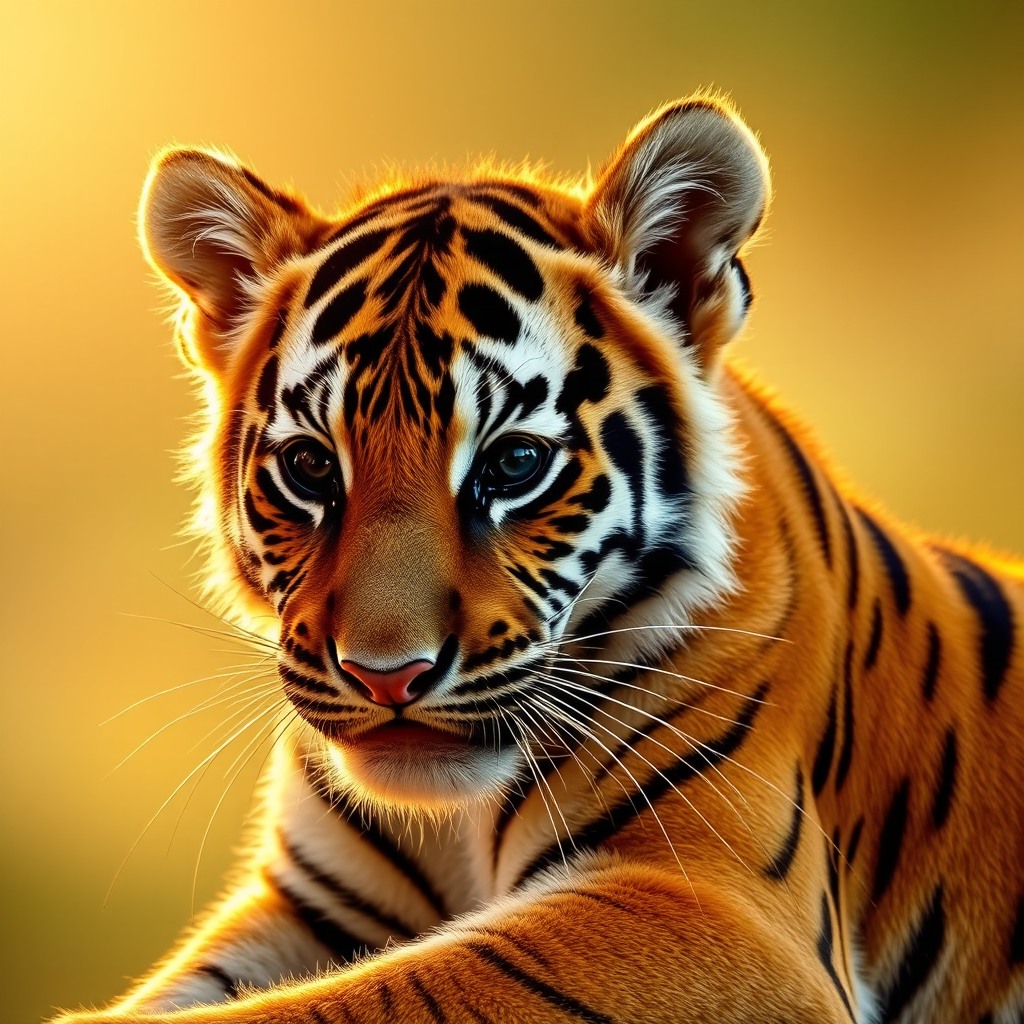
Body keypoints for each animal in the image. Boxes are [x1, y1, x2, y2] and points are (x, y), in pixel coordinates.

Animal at [50, 94, 1024, 1024]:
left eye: (514, 463)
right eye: (311, 466)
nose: (385, 676)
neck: (453, 820)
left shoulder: (714, 902)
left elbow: (382, 996)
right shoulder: (309, 906)